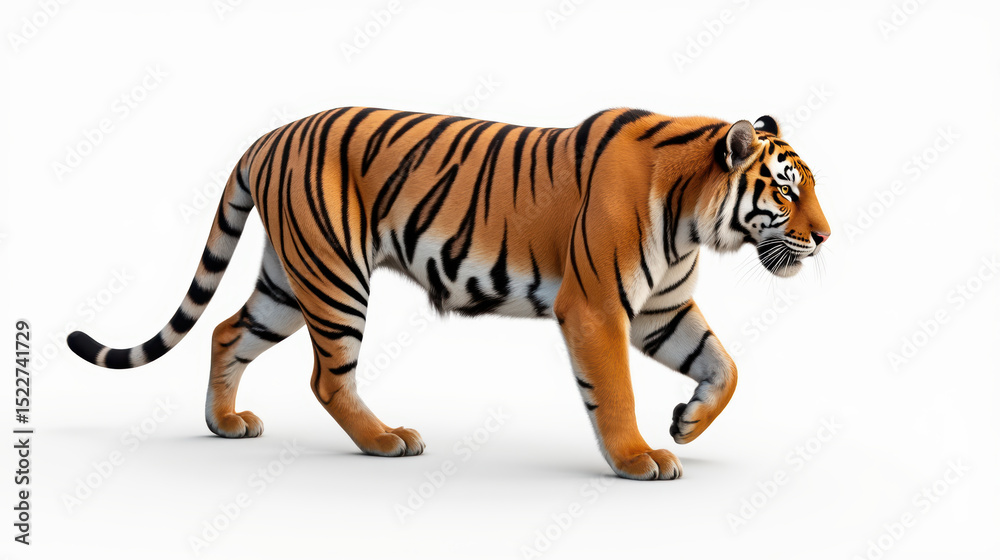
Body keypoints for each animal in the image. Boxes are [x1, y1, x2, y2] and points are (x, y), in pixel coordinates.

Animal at [67, 107, 830, 480]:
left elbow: (725, 367)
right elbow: (614, 391)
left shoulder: (661, 310)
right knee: (327, 377)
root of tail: (269, 136)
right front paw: (638, 458)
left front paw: (687, 424)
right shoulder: (596, 308)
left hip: (289, 279)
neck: (691, 216)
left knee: (229, 330)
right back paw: (387, 441)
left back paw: (225, 423)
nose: (825, 237)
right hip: (335, 274)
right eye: (789, 190)